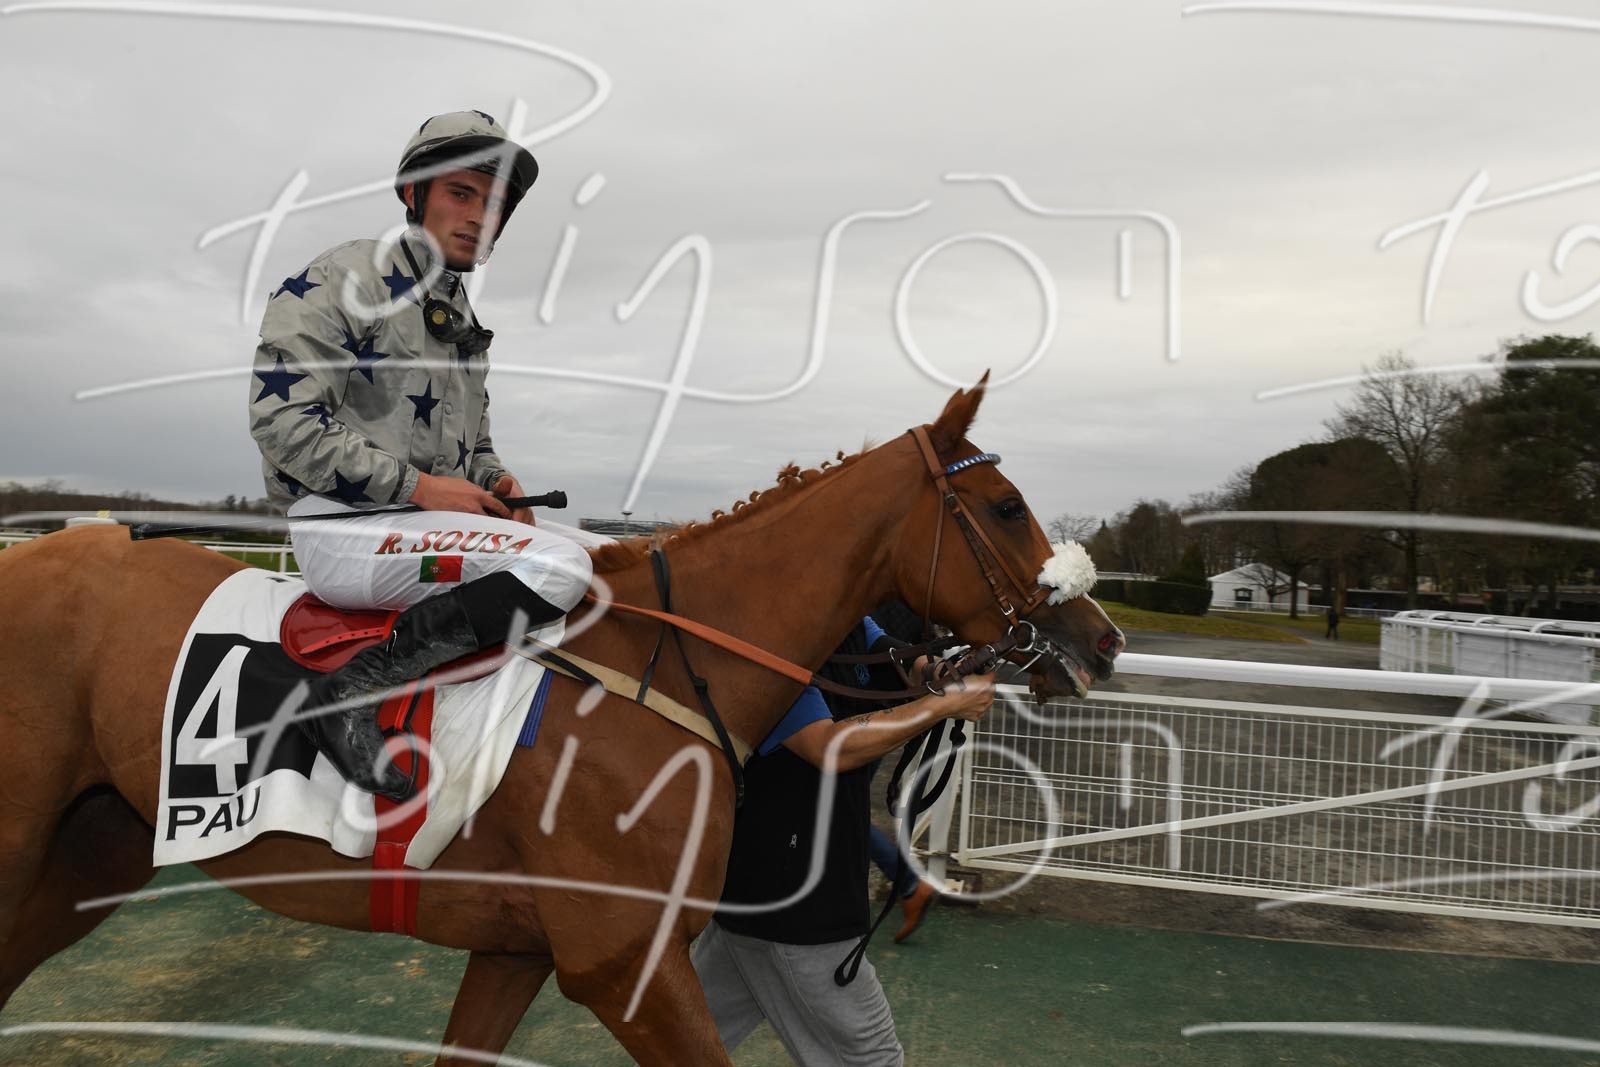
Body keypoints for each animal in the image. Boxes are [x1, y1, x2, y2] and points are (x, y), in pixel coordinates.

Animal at [0, 377, 1123, 1065]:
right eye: (1009, 506)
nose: (1103, 637)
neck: (670, 668)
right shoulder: (624, 965)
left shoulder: (521, 952)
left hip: (89, 854)